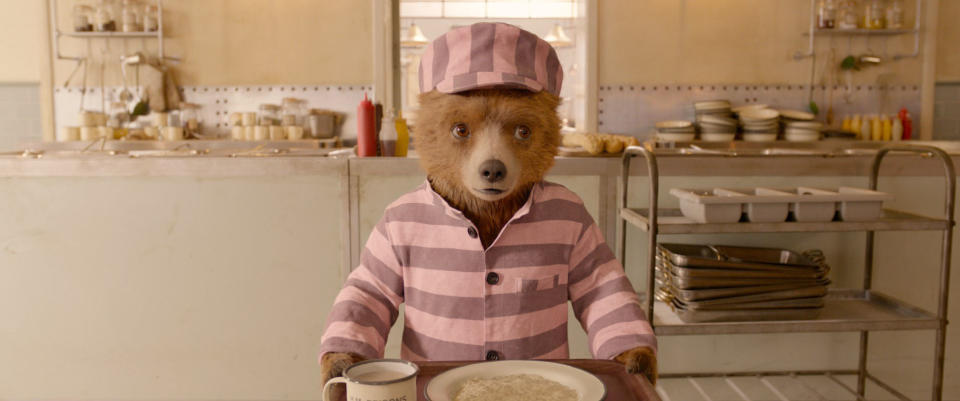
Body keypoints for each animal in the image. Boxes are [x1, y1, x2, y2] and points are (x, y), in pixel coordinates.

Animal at [318, 20, 656, 392]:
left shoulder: (579, 221)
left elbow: (600, 282)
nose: (493, 169)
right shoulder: (392, 227)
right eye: (460, 129)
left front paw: (638, 359)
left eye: (523, 130)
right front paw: (339, 362)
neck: (486, 211)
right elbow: (371, 288)